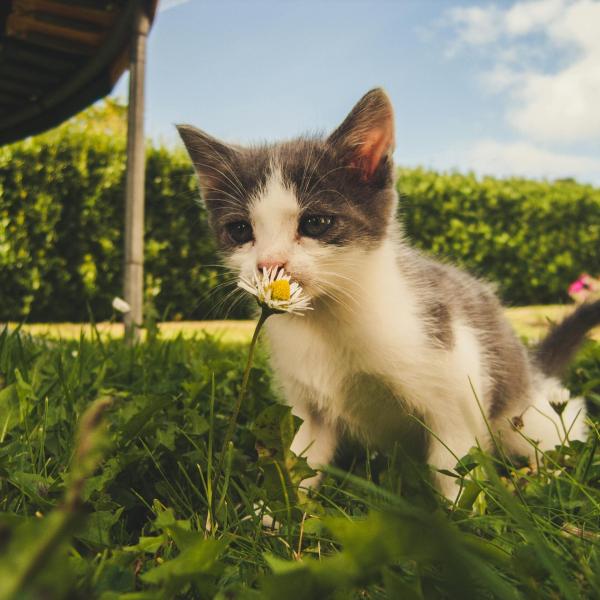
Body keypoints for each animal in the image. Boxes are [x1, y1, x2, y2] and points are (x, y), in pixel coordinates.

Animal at [177, 85, 596, 496]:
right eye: (240, 230)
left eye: (315, 223)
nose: (269, 264)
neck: (328, 319)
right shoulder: (308, 409)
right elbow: (299, 463)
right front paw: (268, 513)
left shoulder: (456, 389)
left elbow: (454, 470)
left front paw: (458, 516)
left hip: (519, 412)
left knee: (559, 422)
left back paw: (544, 475)